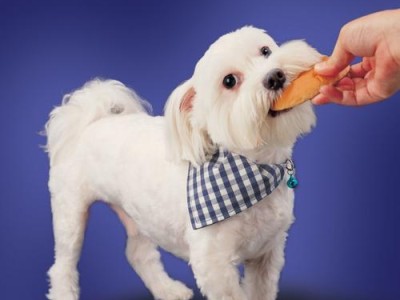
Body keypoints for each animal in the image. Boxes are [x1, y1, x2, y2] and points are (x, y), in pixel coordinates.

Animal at [44, 26, 318, 300]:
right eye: (229, 81)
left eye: (266, 51)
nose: (275, 77)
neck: (253, 170)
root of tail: (90, 123)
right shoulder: (214, 266)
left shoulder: (267, 253)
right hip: (70, 212)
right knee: (62, 265)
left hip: (139, 214)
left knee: (138, 252)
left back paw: (167, 289)